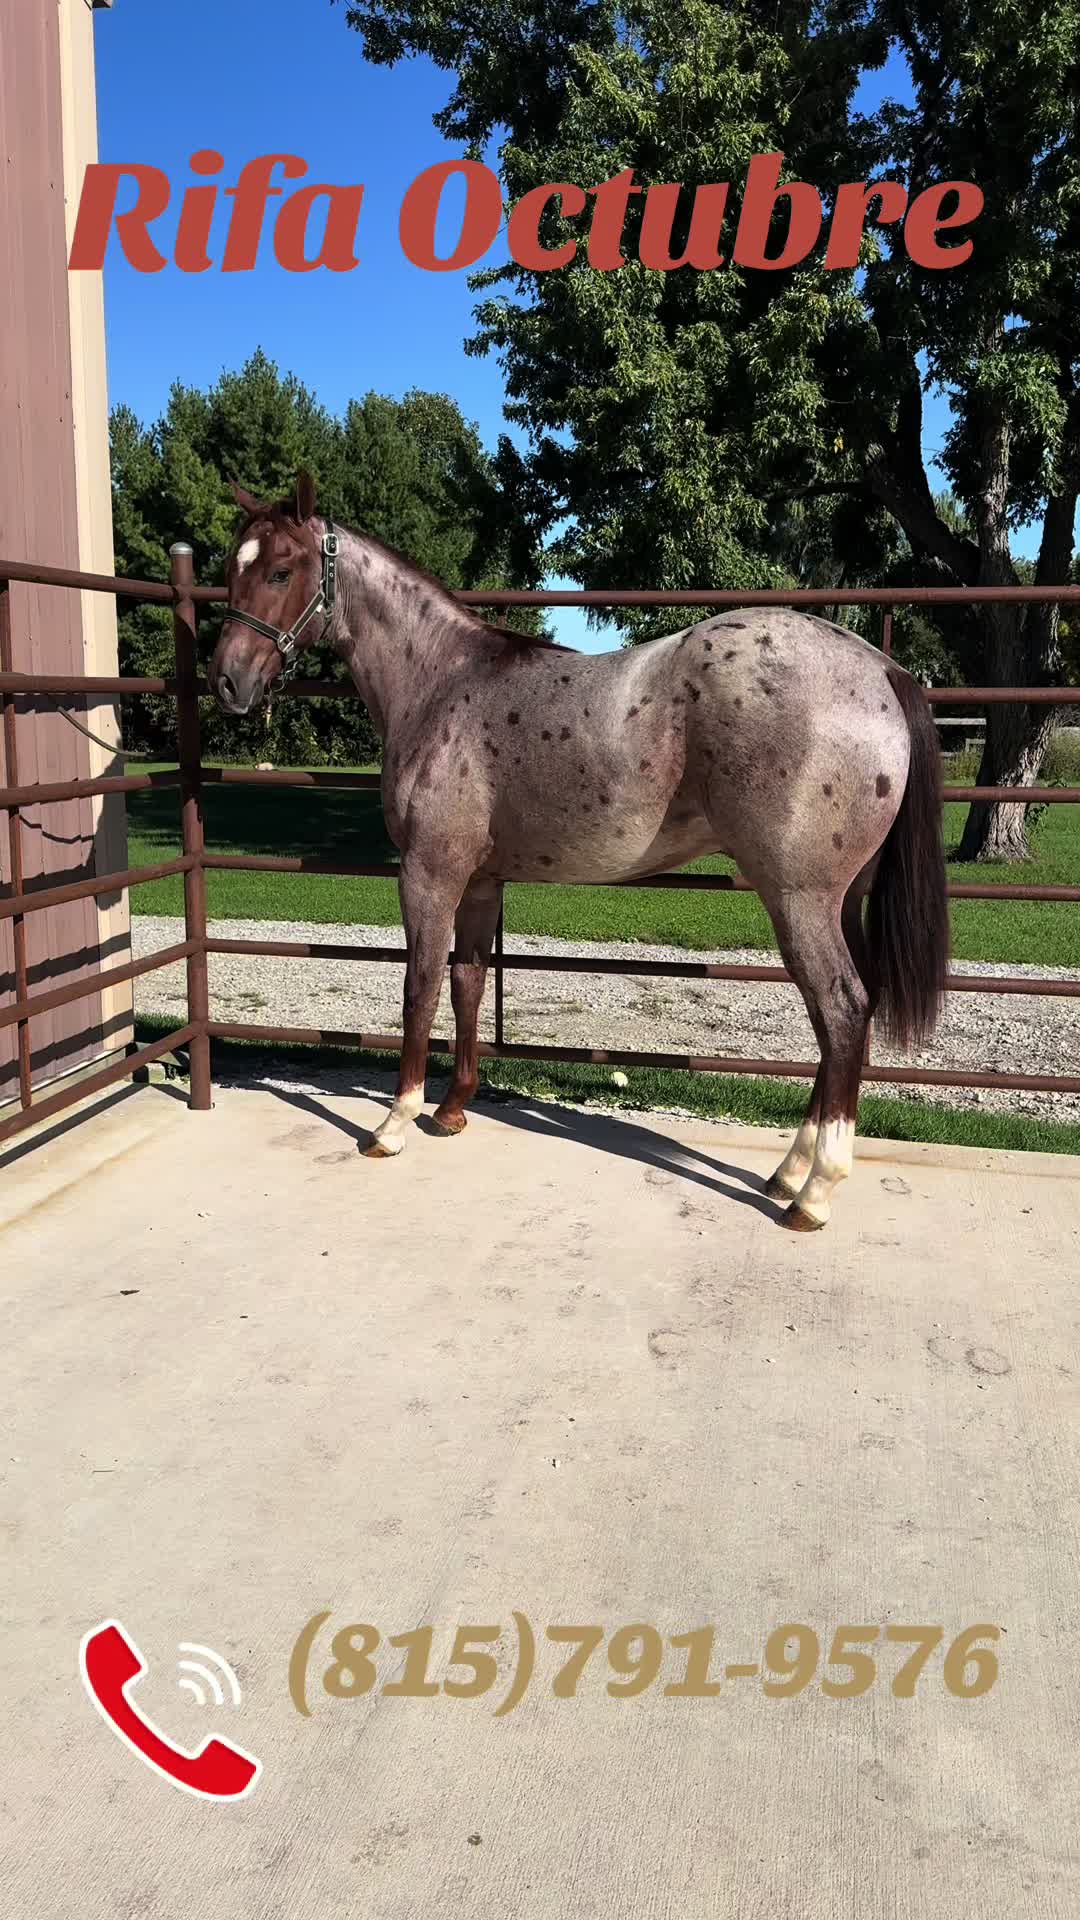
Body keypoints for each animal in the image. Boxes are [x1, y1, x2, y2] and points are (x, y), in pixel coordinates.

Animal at [208, 471, 949, 1231]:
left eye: (282, 569)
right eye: (232, 567)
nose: (227, 682)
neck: (442, 682)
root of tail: (882, 671)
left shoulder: (429, 874)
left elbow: (420, 987)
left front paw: (395, 1122)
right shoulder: (480, 882)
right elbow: (469, 981)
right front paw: (452, 1109)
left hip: (798, 898)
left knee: (841, 1010)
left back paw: (816, 1191)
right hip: (841, 899)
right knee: (845, 1019)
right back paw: (789, 1172)